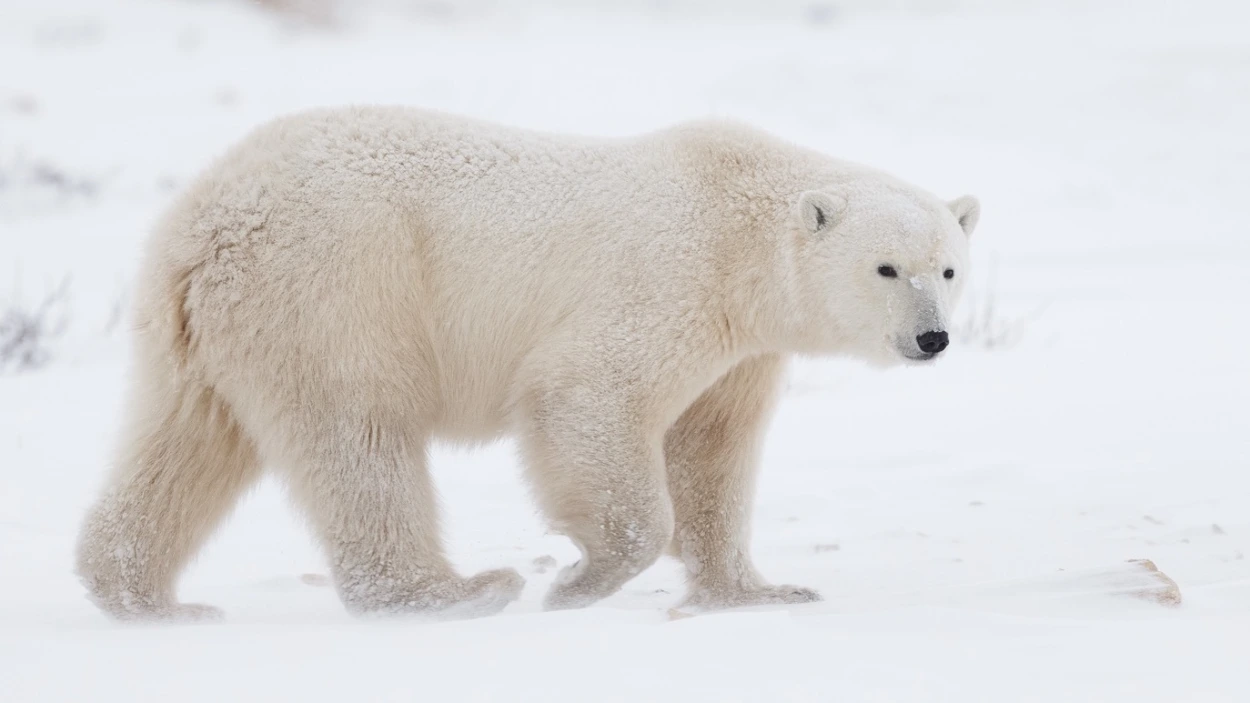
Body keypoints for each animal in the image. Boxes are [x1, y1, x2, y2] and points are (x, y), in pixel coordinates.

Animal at [73, 105, 980, 617]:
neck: (739, 229)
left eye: (948, 267)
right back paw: (457, 593)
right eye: (886, 268)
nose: (932, 338)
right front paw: (579, 582)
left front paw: (754, 592)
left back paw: (142, 596)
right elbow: (586, 396)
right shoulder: (667, 280)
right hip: (339, 286)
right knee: (359, 437)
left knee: (186, 441)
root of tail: (208, 220)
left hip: (208, 328)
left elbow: (710, 451)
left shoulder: (740, 348)